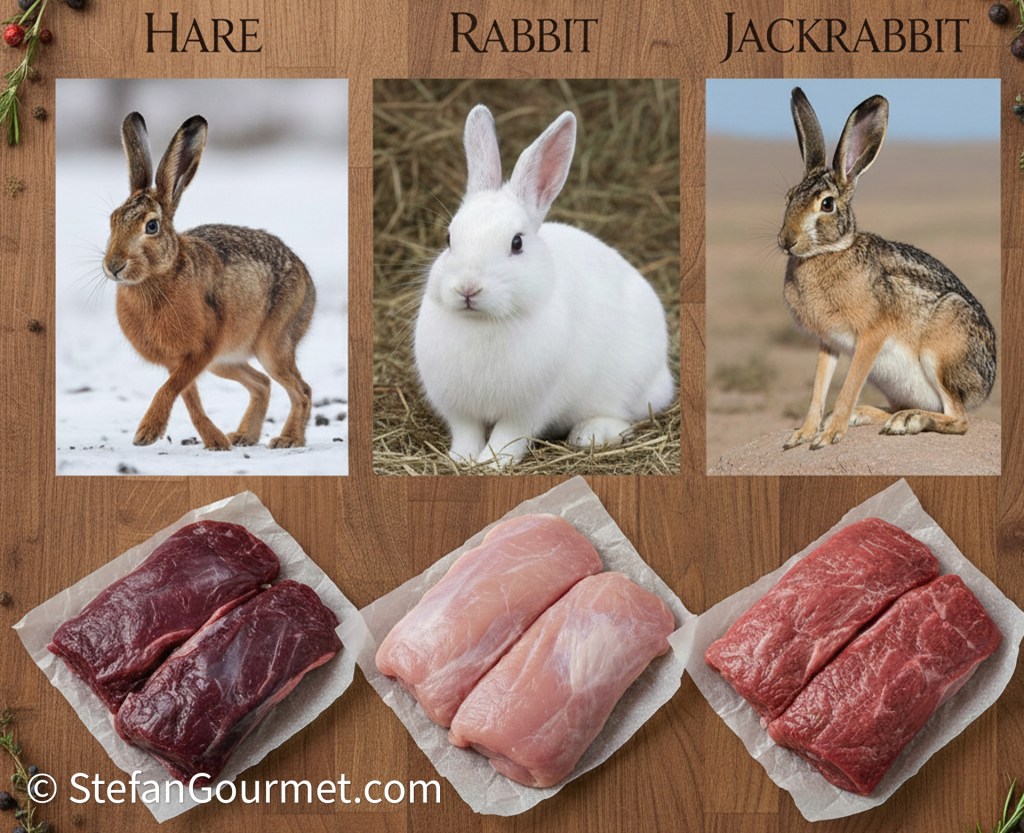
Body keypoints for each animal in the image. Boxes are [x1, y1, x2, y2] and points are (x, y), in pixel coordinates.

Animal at [102, 112, 316, 450]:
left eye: (152, 226)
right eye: (112, 220)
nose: (114, 266)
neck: (162, 276)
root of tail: (307, 278)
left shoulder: (200, 351)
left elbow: (170, 389)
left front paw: (146, 433)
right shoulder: (180, 361)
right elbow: (187, 397)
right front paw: (215, 441)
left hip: (273, 345)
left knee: (300, 389)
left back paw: (288, 439)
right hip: (225, 361)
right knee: (262, 384)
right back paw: (242, 437)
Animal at [413, 104, 675, 468]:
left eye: (517, 243)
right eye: (449, 239)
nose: (468, 288)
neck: (483, 323)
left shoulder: (528, 409)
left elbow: (508, 437)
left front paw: (493, 463)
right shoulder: (458, 408)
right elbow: (467, 431)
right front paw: (462, 458)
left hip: (630, 385)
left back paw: (591, 434)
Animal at [778, 87, 996, 451]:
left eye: (827, 204)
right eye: (789, 197)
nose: (787, 241)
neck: (831, 251)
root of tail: (986, 384)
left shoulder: (871, 335)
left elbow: (848, 385)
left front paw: (830, 435)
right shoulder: (828, 342)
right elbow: (819, 390)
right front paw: (803, 434)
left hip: (941, 352)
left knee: (958, 418)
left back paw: (907, 422)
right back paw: (868, 415)